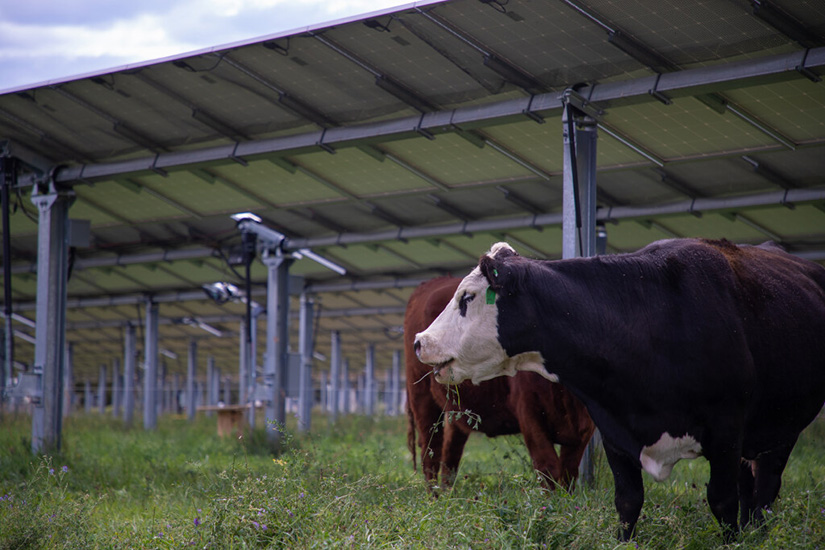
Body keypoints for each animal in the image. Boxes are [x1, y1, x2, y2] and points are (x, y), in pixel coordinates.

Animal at [404, 278, 592, 490]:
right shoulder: (529, 413)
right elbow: (548, 467)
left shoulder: (584, 429)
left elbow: (568, 473)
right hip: (422, 398)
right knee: (431, 453)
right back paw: (433, 494)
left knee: (449, 456)